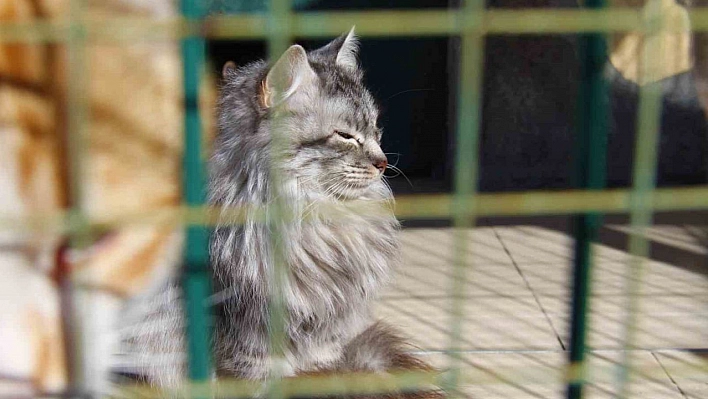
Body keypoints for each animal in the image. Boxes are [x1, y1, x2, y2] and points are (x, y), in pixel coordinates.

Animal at [121, 29, 442, 398]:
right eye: (345, 136)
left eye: (376, 129)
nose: (383, 162)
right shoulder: (242, 323)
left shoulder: (323, 325)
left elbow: (324, 365)